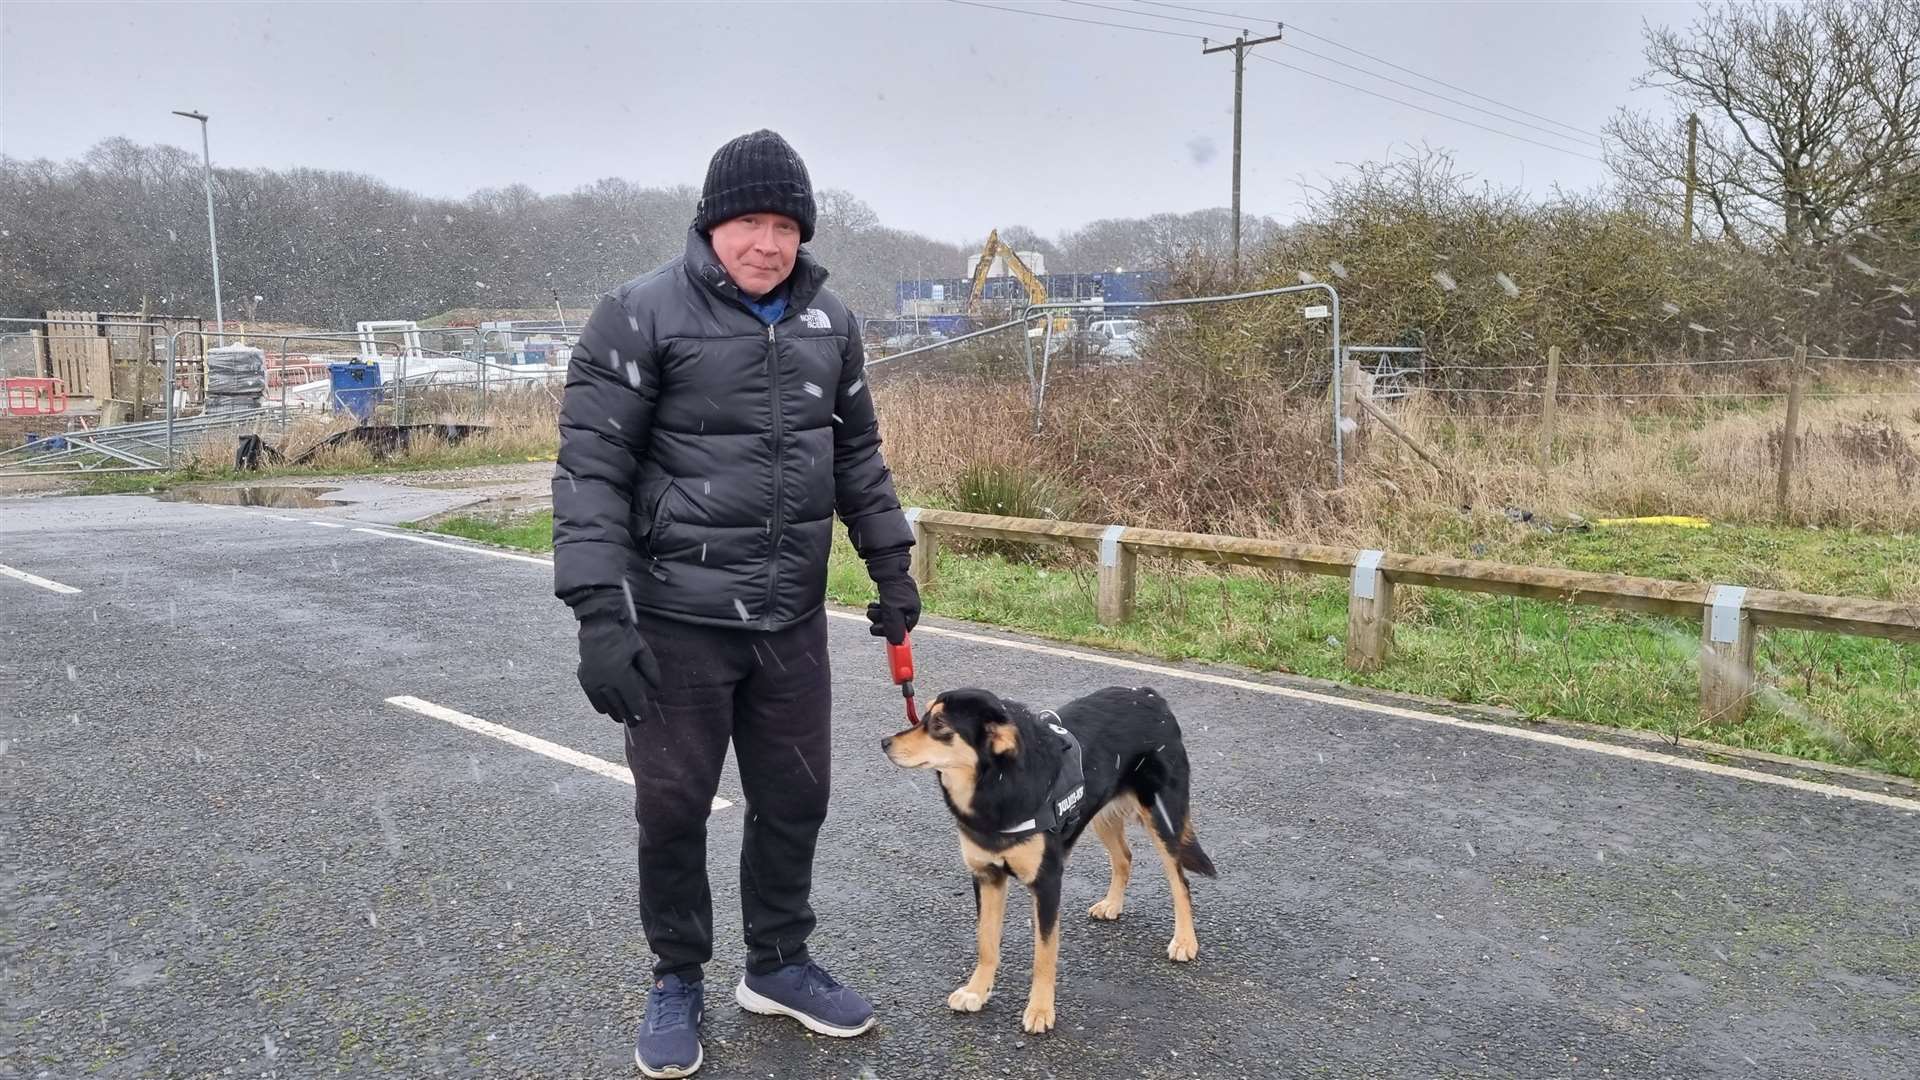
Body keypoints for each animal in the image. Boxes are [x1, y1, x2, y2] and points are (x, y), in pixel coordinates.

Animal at [879, 684, 1213, 1030]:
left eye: (940, 724)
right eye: (924, 715)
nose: (884, 743)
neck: (996, 785)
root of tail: (1149, 695)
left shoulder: (1047, 881)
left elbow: (1044, 953)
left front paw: (1040, 1009)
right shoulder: (987, 876)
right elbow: (986, 943)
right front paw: (977, 991)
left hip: (1163, 819)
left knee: (1180, 882)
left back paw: (1185, 940)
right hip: (1101, 813)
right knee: (1124, 857)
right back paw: (1112, 904)